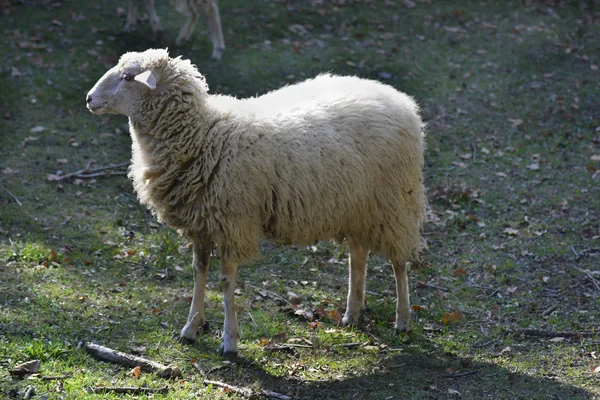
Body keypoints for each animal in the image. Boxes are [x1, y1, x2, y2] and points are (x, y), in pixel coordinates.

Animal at [86, 48, 428, 358]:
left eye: (129, 77)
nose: (89, 99)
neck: (203, 134)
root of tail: (399, 98)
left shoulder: (231, 222)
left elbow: (225, 282)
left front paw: (229, 342)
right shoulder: (202, 223)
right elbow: (198, 273)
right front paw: (191, 328)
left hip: (394, 201)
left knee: (398, 262)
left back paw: (402, 319)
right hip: (356, 205)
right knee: (358, 256)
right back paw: (351, 314)